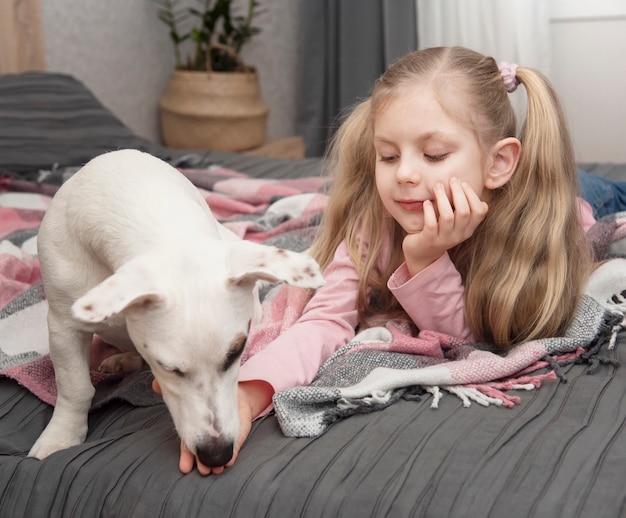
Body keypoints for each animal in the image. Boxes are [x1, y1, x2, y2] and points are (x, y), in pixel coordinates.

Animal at [28, 148, 322, 470]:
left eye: (236, 353)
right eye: (168, 368)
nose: (216, 455)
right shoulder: (63, 327)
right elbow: (75, 387)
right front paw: (61, 436)